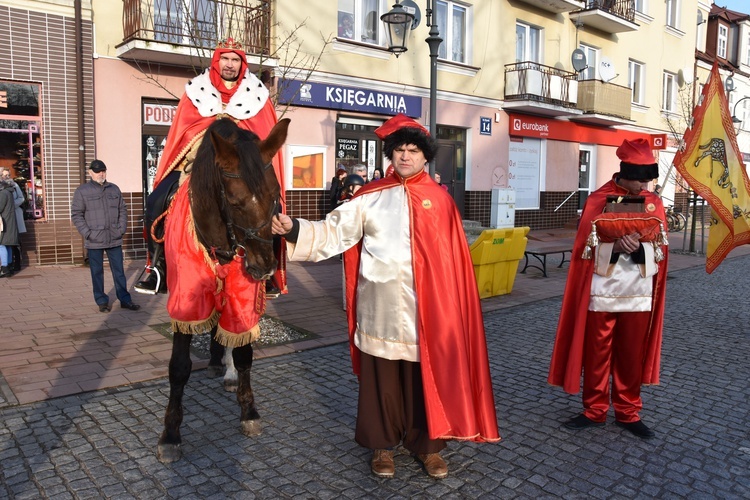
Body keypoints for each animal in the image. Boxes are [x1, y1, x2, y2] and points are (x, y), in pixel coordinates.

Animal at [157, 115, 290, 462]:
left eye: (275, 194)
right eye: (234, 201)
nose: (264, 266)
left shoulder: (243, 298)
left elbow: (243, 352)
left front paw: (248, 411)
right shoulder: (186, 301)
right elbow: (179, 367)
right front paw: (170, 434)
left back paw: (225, 368)